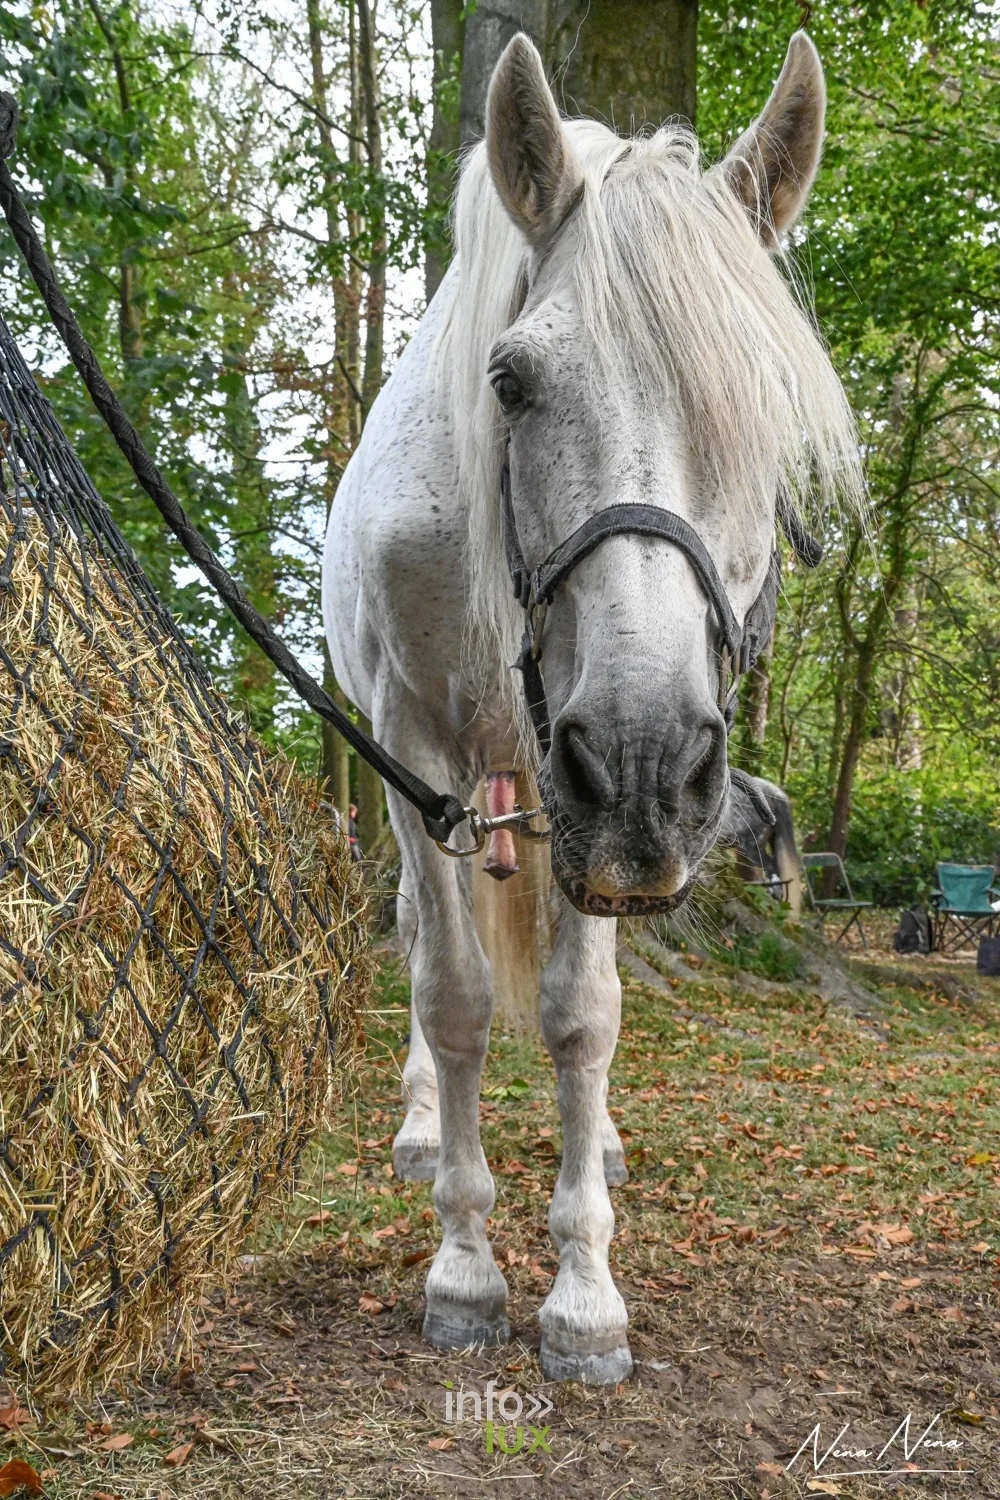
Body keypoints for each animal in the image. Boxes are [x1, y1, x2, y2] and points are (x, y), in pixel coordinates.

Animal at [323, 30, 862, 1384]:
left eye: (765, 406)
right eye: (511, 382)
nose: (643, 759)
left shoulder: (596, 813)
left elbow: (583, 1017)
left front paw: (583, 1291)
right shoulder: (417, 755)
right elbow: (454, 997)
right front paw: (465, 1268)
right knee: (418, 935)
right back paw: (424, 1128)